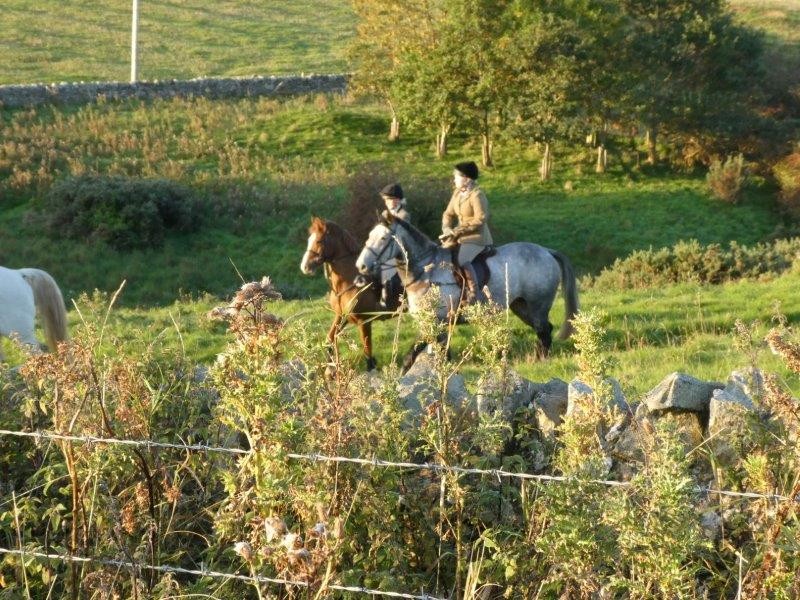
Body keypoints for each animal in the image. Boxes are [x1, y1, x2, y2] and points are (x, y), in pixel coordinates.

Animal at [300, 217, 399, 371]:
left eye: (319, 241)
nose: (305, 267)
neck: (349, 281)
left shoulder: (364, 322)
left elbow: (367, 350)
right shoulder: (341, 316)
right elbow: (329, 339)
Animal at [354, 212, 579, 370]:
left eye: (383, 239)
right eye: (369, 236)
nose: (361, 266)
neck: (426, 270)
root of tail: (547, 251)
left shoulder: (435, 322)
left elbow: (411, 356)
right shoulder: (436, 325)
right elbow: (439, 354)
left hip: (538, 305)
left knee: (544, 331)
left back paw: (541, 362)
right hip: (521, 307)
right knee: (544, 330)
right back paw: (537, 359)